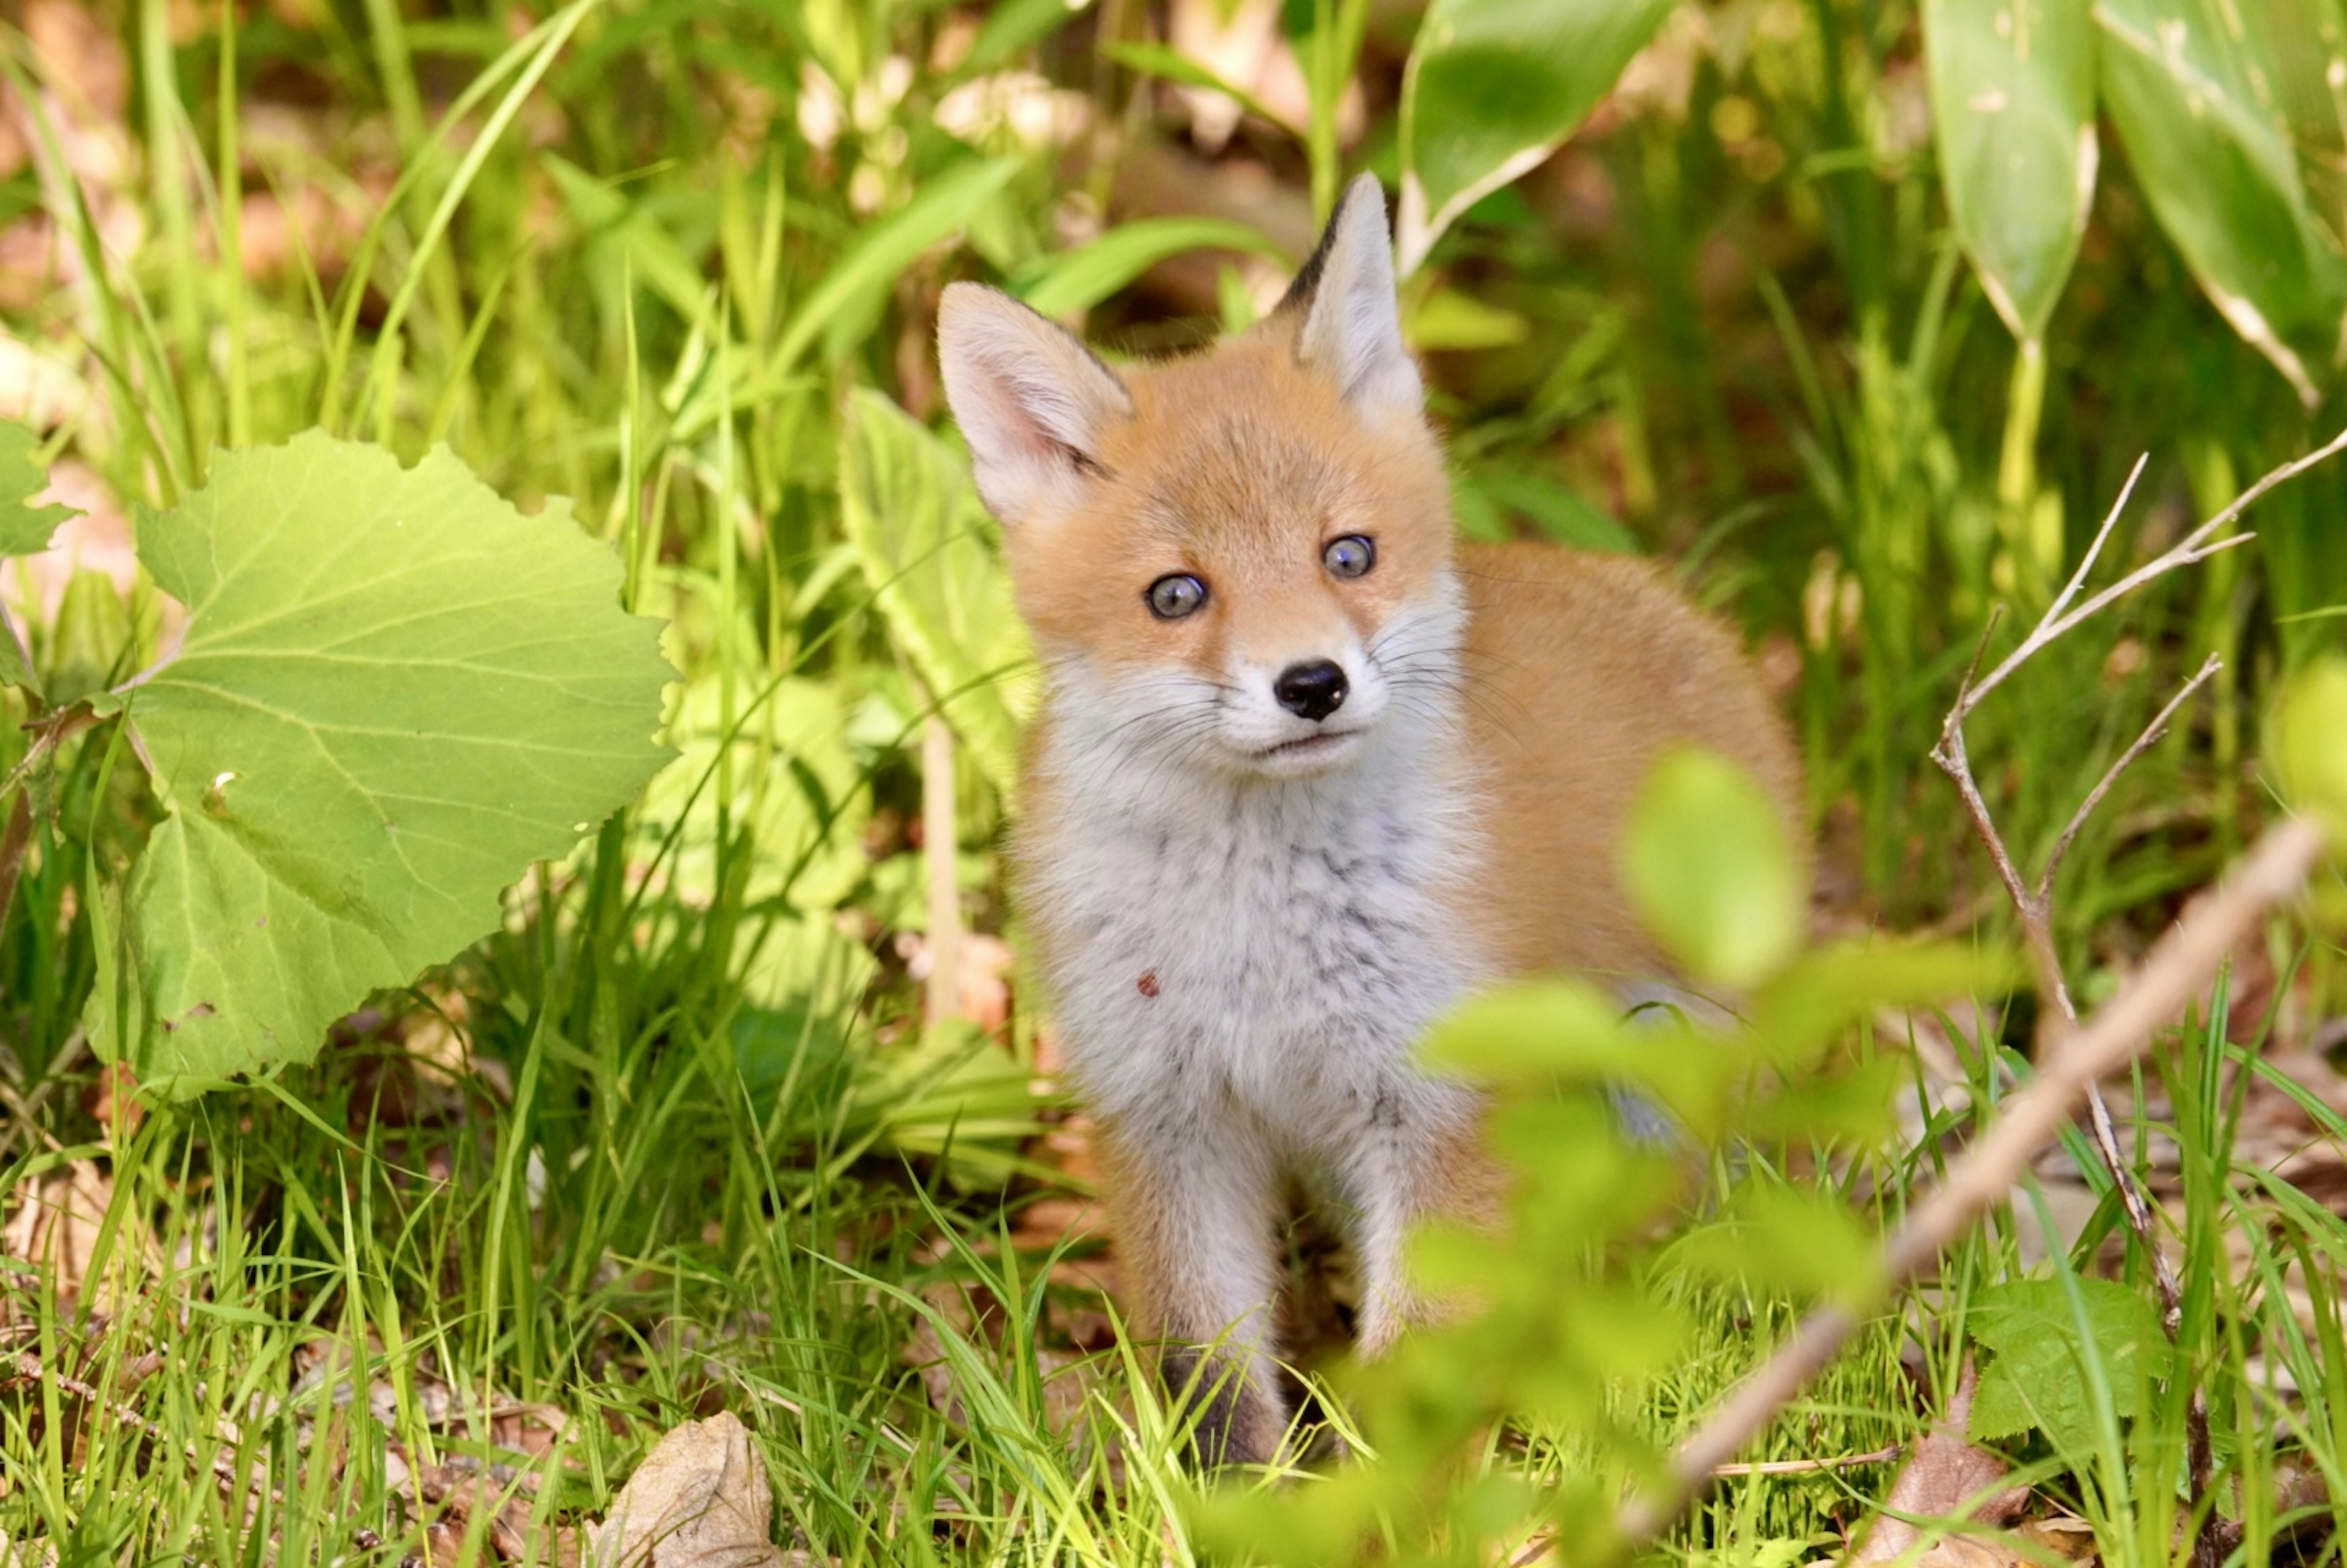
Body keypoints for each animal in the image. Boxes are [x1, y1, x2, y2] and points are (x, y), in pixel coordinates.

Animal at [934, 177, 1793, 1464]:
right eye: (1177, 595)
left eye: (1349, 555)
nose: (1312, 684)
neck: (1259, 933)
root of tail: (1677, 610)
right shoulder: (1168, 1116)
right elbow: (1211, 1387)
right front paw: (1236, 1504)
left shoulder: (1437, 1106)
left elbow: (1414, 1383)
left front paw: (1383, 1502)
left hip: (1658, 1073)